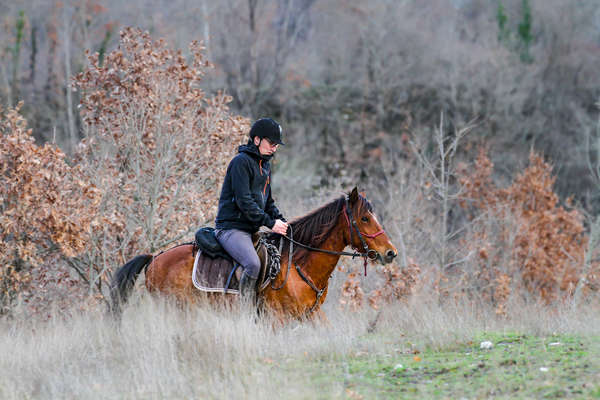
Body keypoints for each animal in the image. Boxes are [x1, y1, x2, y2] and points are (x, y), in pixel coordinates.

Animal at [111, 188, 398, 322]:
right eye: (364, 218)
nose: (390, 253)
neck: (298, 265)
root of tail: (155, 258)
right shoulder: (278, 319)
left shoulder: (312, 315)